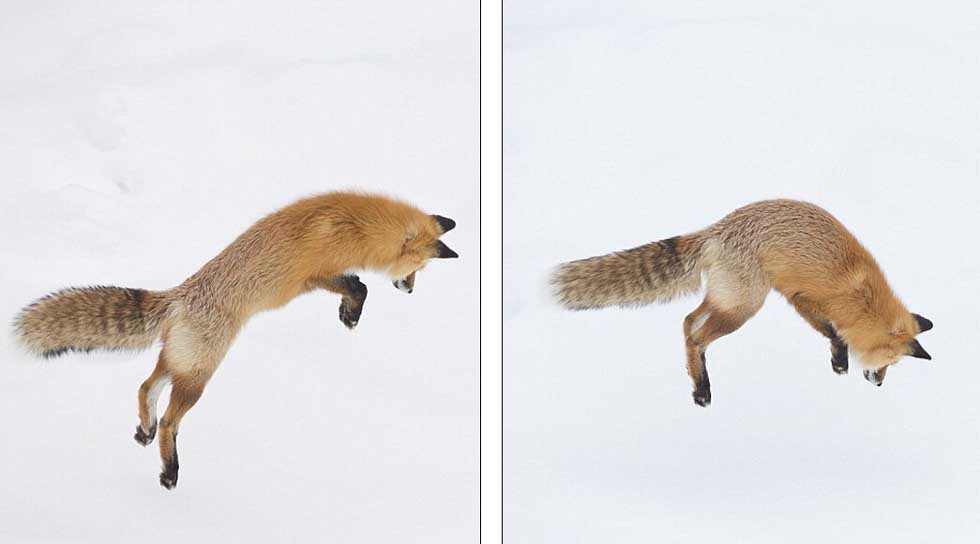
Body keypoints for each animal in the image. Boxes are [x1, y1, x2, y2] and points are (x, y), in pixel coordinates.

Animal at [14, 191, 460, 488]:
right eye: (418, 267)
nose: (410, 290)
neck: (356, 226)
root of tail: (180, 295)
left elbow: (358, 285)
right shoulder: (314, 276)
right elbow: (359, 286)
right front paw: (350, 314)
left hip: (182, 362)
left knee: (145, 386)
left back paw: (144, 429)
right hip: (200, 375)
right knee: (171, 420)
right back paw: (169, 470)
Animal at [552, 200, 936, 408]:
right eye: (890, 363)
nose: (879, 384)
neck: (862, 298)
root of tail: (715, 230)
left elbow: (833, 333)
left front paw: (838, 360)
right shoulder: (802, 298)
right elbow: (832, 331)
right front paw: (840, 361)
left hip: (726, 299)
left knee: (687, 321)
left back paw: (697, 378)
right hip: (744, 306)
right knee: (696, 336)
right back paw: (702, 390)